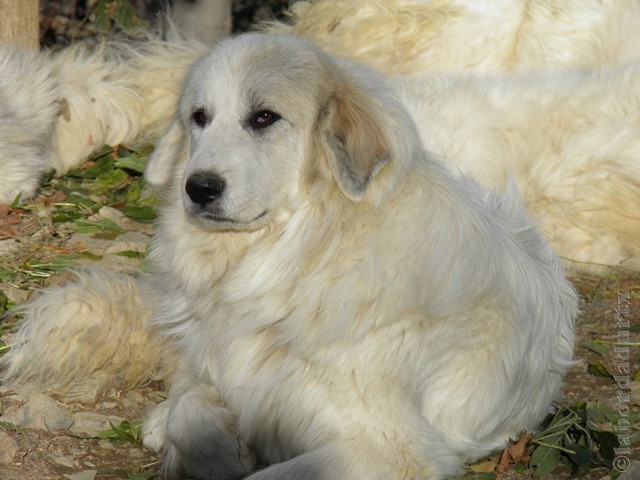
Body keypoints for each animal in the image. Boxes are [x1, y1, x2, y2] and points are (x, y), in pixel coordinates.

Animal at [2, 33, 576, 480]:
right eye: (199, 117)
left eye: (264, 117)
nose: (198, 188)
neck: (298, 259)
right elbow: (189, 401)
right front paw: (211, 442)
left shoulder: (392, 451)